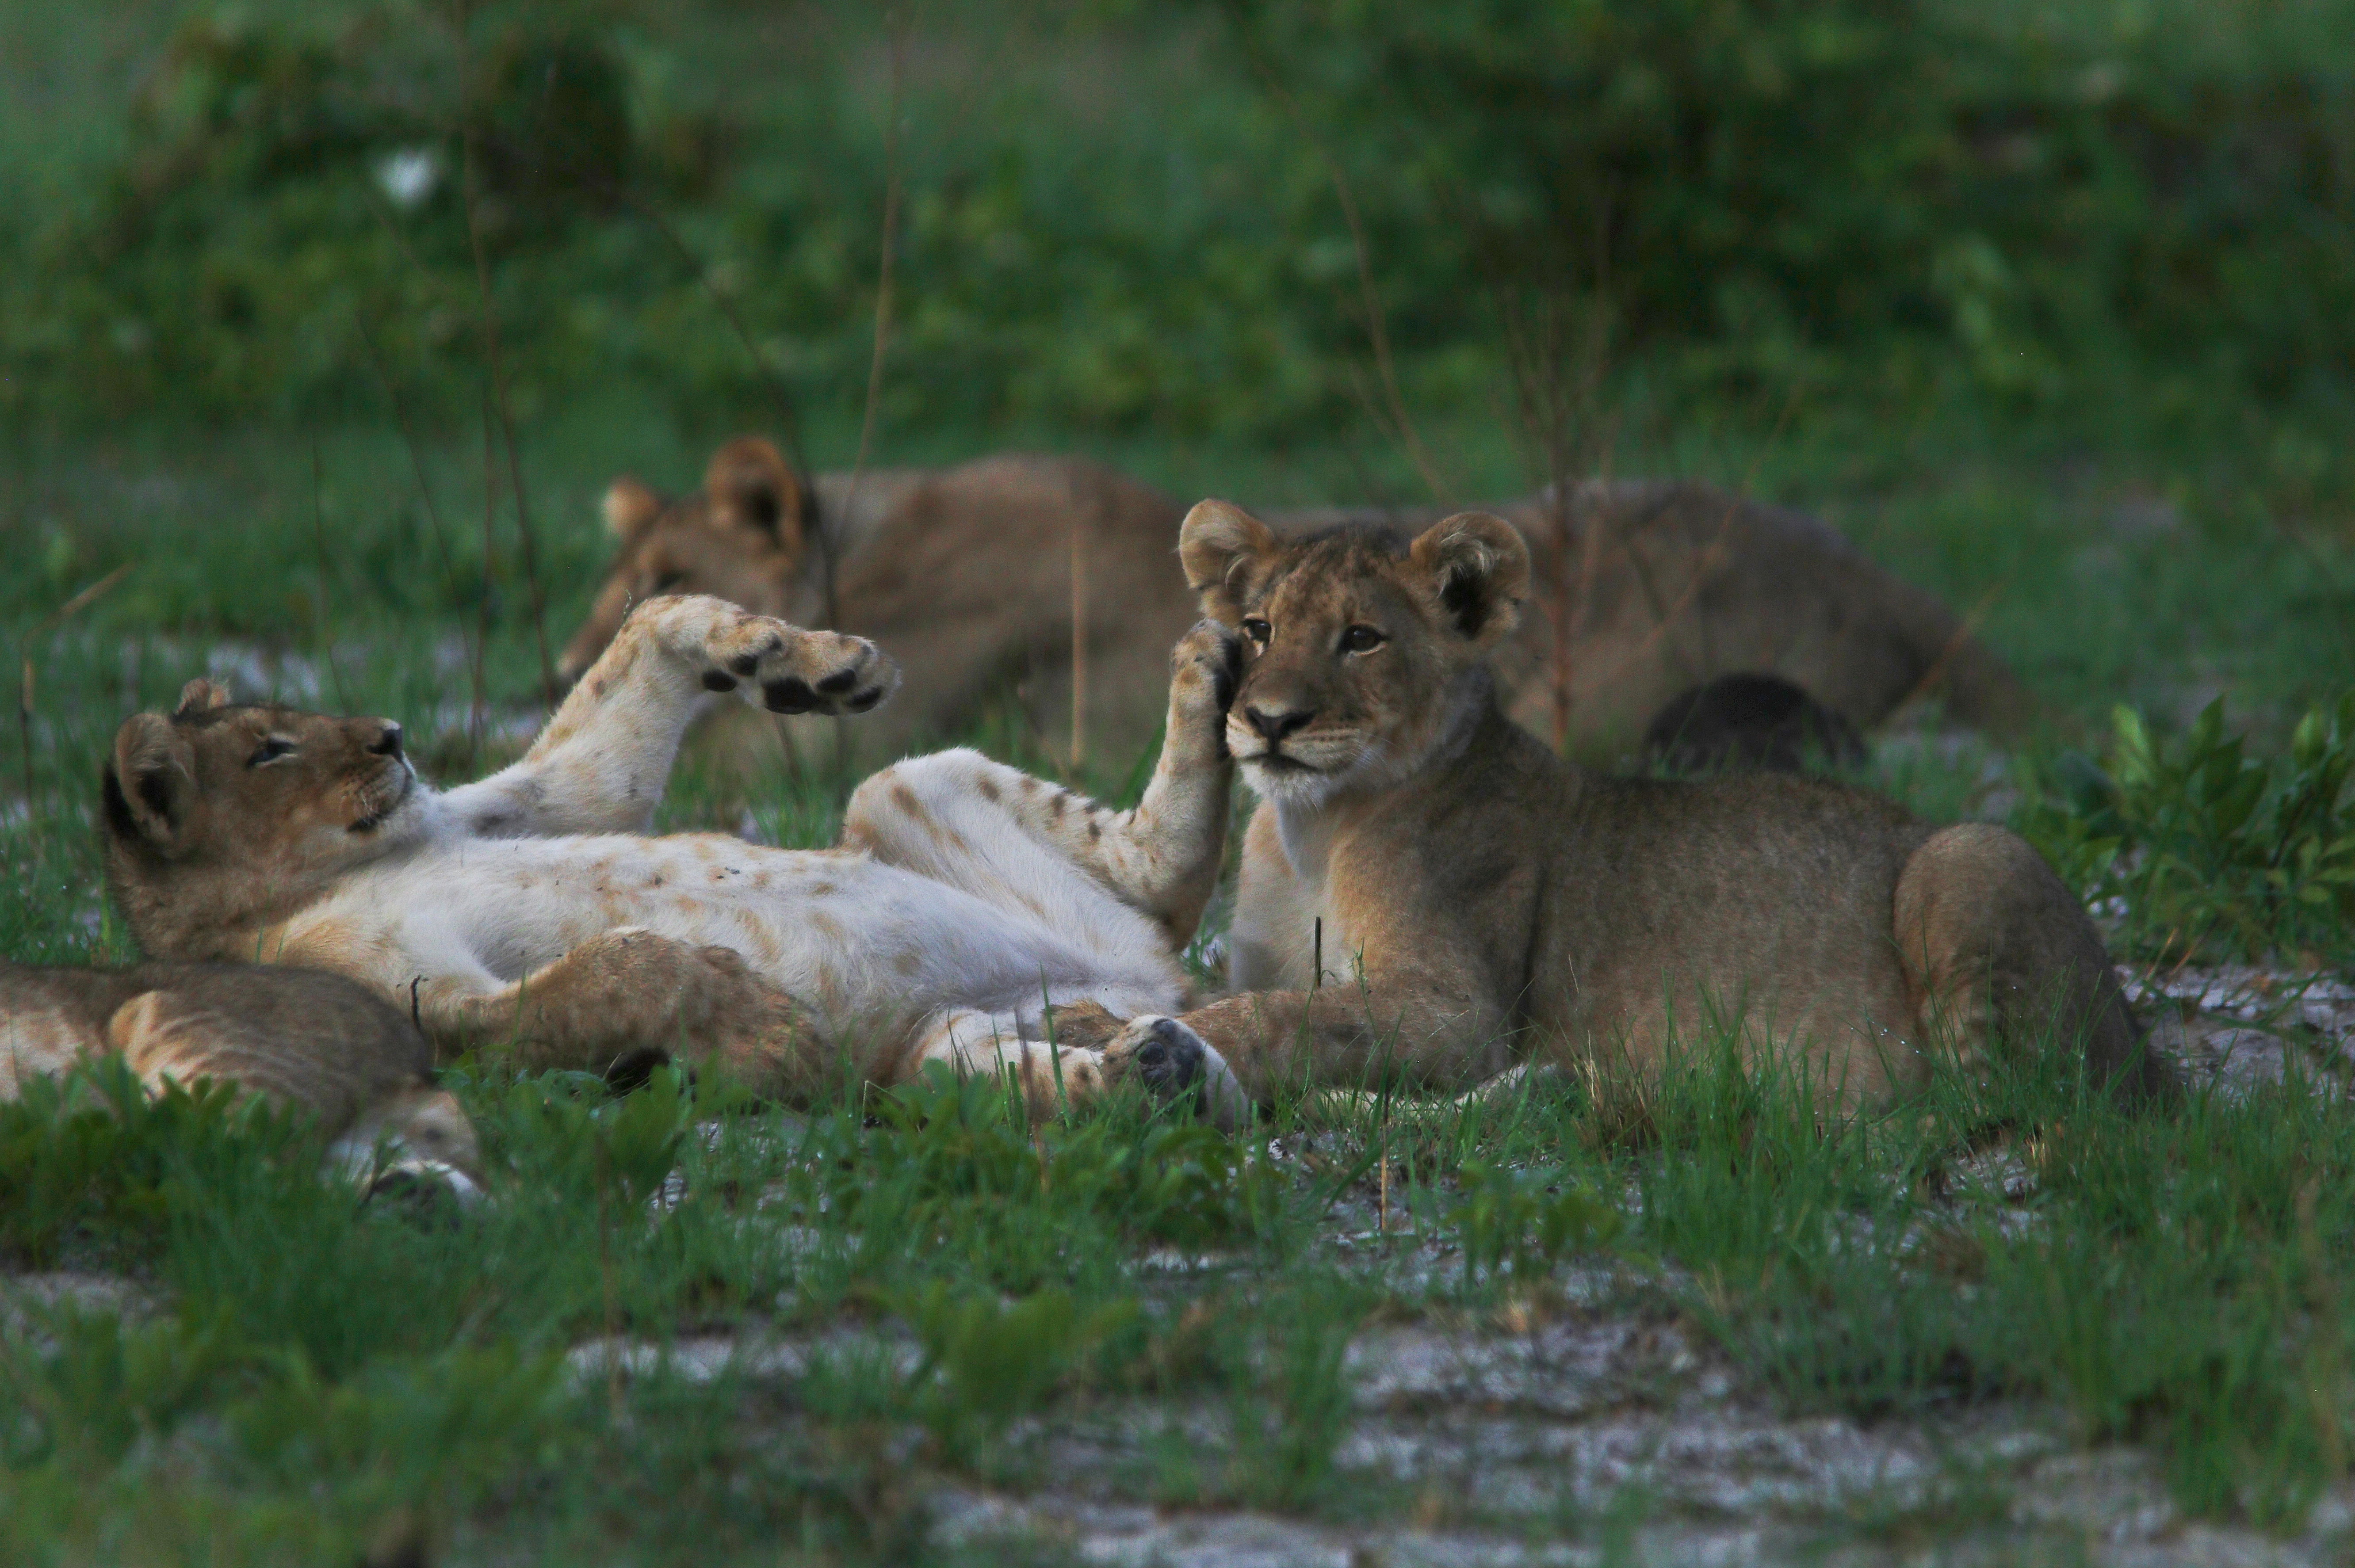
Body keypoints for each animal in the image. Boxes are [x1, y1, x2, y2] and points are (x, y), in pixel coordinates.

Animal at [102, 597, 1247, 1122]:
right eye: (270, 748)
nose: (391, 736)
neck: (347, 867)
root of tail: (1137, 986)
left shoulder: (518, 807)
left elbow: (647, 632)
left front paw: (806, 663)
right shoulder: (407, 1000)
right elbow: (610, 969)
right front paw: (761, 1024)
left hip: (911, 785)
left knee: (1163, 881)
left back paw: (1213, 665)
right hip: (930, 1059)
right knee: (1058, 1059)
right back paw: (1156, 1070)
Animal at [1113, 502, 2170, 1113]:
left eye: (1362, 638)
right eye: (1258, 629)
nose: (1268, 721)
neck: (1311, 830)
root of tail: (2149, 1059)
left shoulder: (1459, 1011)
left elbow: (1288, 1016)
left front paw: (1160, 1046)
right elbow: (1246, 992)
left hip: (1973, 854)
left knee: (1977, 1108)